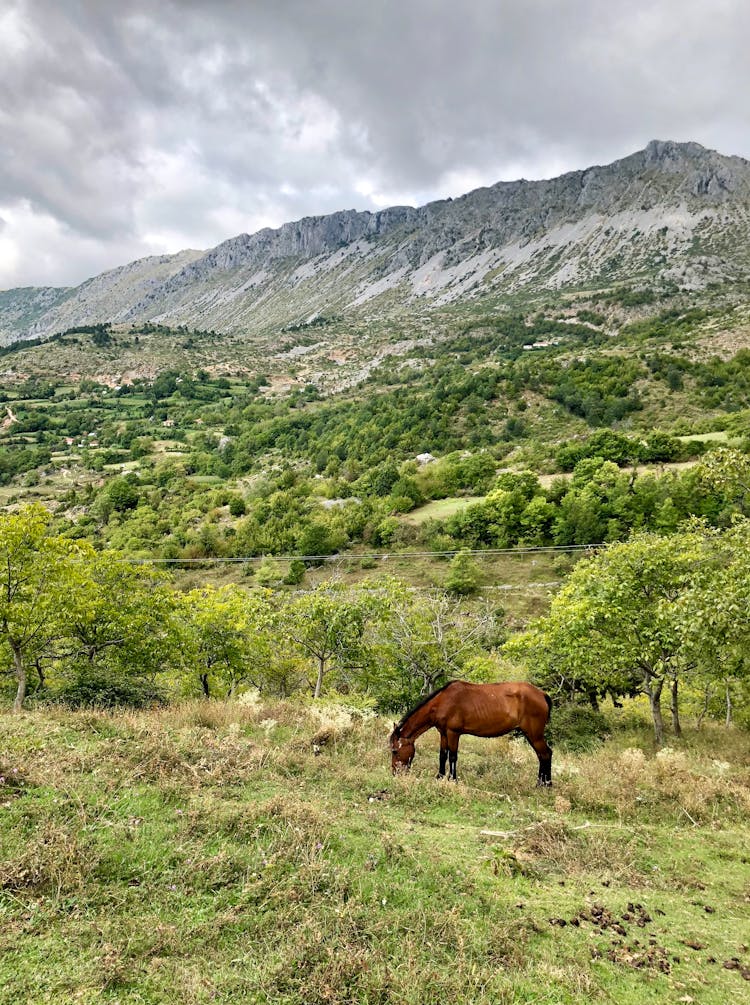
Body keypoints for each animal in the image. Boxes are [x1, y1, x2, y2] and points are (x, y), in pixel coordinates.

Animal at [388, 679, 550, 787]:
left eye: (395, 751)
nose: (395, 773)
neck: (442, 702)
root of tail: (542, 694)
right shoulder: (443, 733)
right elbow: (442, 755)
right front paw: (439, 776)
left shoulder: (453, 733)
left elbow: (452, 756)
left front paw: (453, 779)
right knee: (541, 755)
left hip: (534, 734)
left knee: (546, 754)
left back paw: (545, 784)